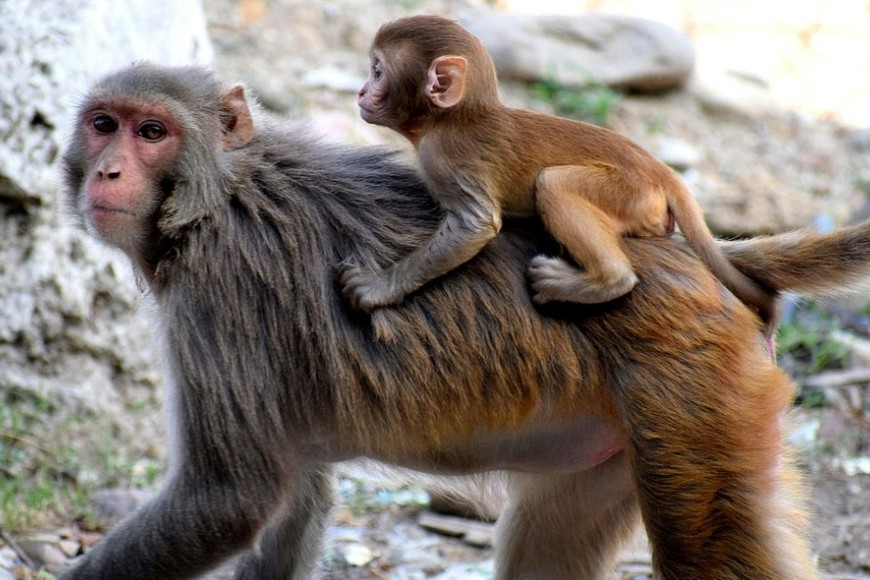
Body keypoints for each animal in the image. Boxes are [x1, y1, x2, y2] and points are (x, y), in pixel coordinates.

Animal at [60, 62, 870, 579]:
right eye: (104, 125)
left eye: (152, 132)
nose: (108, 171)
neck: (214, 197)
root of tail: (692, 259)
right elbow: (293, 497)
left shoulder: (219, 294)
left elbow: (231, 499)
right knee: (551, 541)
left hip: (697, 394)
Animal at [341, 14, 778, 340]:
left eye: (377, 71)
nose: (361, 92)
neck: (453, 118)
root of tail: (661, 172)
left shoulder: (445, 156)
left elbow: (475, 224)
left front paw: (379, 287)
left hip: (628, 193)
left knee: (555, 184)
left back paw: (603, 281)